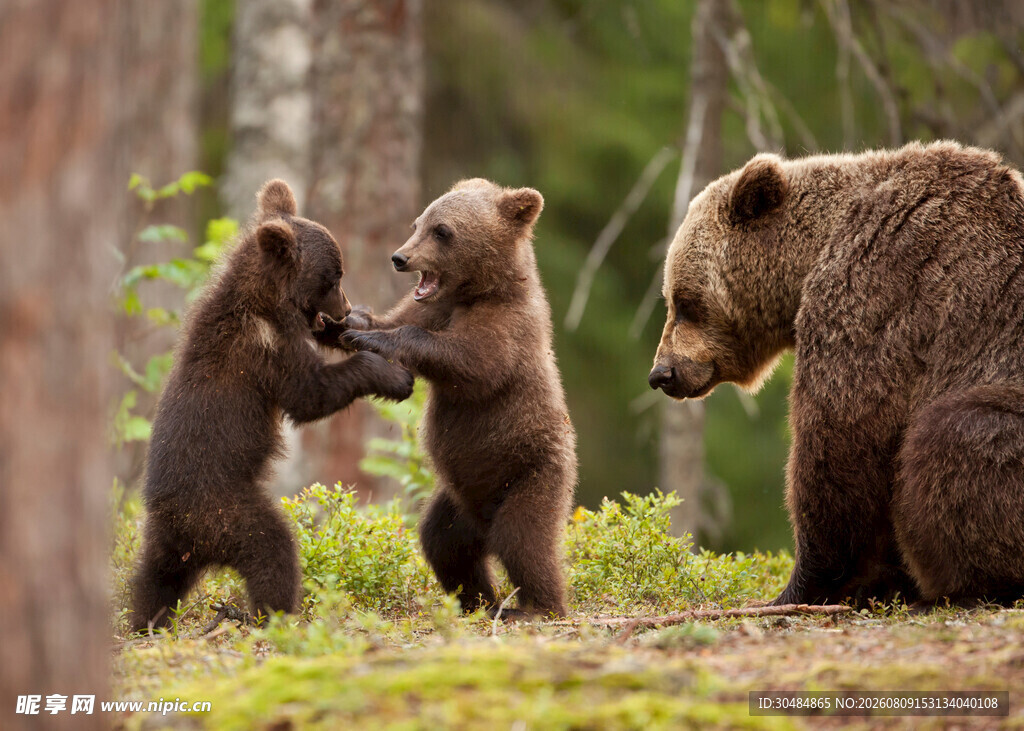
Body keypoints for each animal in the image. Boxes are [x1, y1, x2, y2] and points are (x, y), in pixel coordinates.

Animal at [129, 179, 414, 633]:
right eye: (334, 276)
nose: (344, 308)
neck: (267, 302)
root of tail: (184, 527)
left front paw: (359, 328)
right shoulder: (265, 350)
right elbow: (310, 394)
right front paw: (392, 376)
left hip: (166, 541)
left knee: (153, 580)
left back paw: (145, 621)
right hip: (227, 510)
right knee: (272, 550)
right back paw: (273, 613)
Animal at [323, 178, 577, 617]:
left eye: (442, 231)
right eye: (417, 223)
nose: (399, 257)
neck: (475, 292)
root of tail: (483, 520)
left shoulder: (508, 327)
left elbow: (472, 363)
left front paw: (376, 339)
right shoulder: (432, 306)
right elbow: (390, 320)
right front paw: (341, 323)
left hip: (532, 473)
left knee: (524, 540)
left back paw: (537, 606)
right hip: (457, 502)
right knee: (443, 543)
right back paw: (477, 600)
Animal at [649, 141, 1024, 607]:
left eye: (685, 302)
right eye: (671, 298)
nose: (661, 372)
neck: (810, 256)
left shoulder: (879, 290)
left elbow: (841, 437)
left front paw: (801, 586)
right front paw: (879, 581)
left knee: (954, 432)